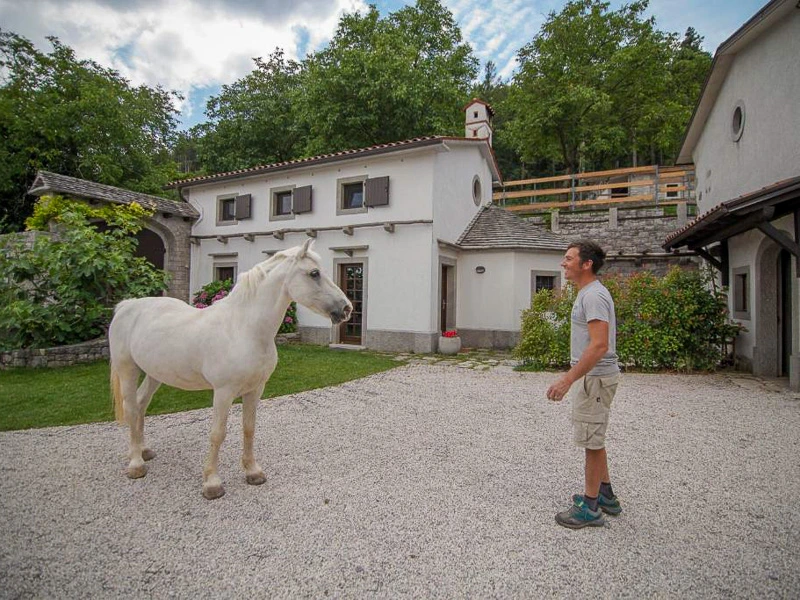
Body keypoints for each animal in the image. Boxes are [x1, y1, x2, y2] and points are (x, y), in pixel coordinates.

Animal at [109, 239, 352, 500]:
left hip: (155, 374)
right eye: (314, 273)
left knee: (141, 404)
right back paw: (136, 464)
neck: (243, 328)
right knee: (131, 408)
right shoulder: (223, 392)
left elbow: (249, 429)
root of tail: (127, 306)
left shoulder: (255, 389)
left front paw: (253, 472)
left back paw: (143, 451)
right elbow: (218, 433)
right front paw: (212, 483)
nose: (346, 308)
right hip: (128, 370)